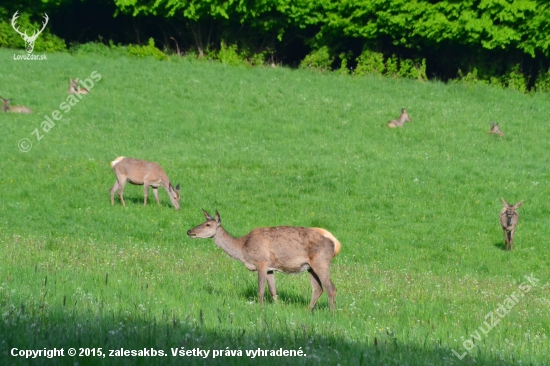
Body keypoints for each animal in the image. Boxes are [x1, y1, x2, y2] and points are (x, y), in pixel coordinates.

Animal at [188, 210, 342, 310]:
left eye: (208, 225)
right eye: (203, 222)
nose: (189, 231)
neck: (243, 250)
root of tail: (336, 243)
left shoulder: (261, 262)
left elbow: (260, 289)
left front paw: (260, 309)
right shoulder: (270, 268)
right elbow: (273, 290)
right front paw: (277, 308)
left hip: (321, 261)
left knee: (331, 288)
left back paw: (331, 313)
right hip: (310, 267)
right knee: (318, 288)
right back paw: (308, 310)